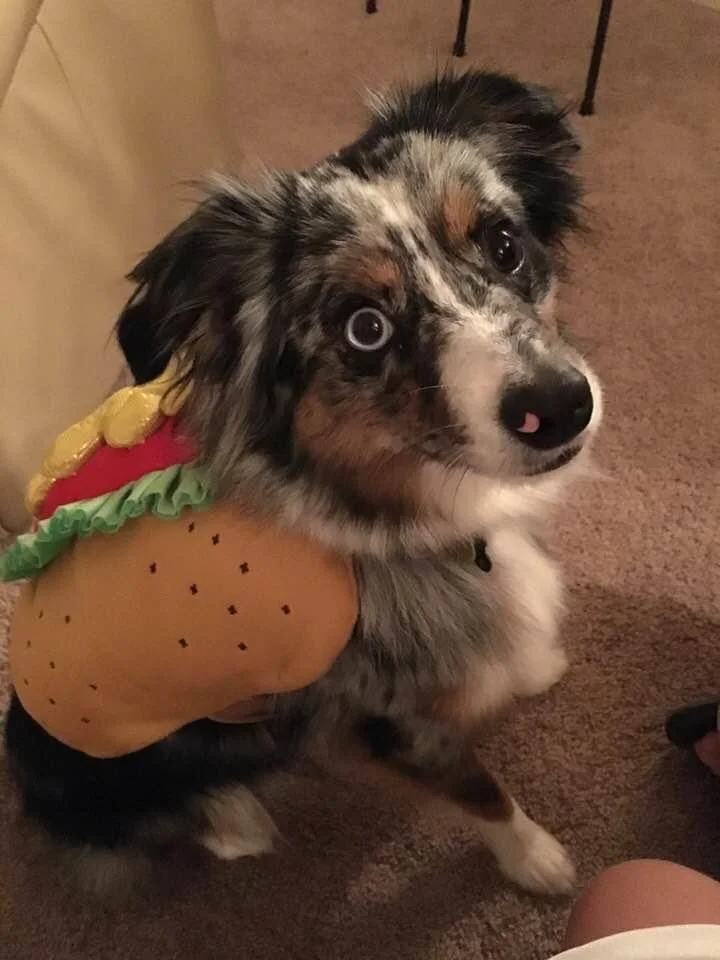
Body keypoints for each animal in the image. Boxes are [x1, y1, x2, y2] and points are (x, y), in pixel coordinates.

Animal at [5, 69, 602, 896]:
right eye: (365, 328)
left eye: (505, 245)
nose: (561, 406)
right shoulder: (385, 719)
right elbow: (480, 789)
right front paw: (536, 860)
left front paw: (537, 666)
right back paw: (235, 820)